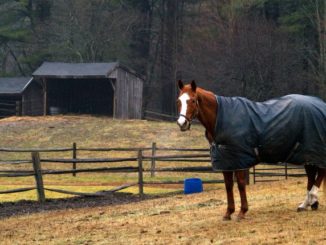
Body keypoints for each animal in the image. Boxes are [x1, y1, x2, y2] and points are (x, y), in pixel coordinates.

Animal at [177, 80, 326, 220]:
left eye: (193, 100)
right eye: (179, 101)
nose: (181, 123)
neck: (220, 119)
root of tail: (320, 105)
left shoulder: (239, 159)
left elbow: (241, 184)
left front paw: (242, 212)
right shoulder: (226, 160)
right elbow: (228, 185)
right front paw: (228, 213)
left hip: (314, 152)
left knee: (320, 173)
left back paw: (312, 197)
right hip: (308, 155)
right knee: (312, 176)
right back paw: (307, 204)